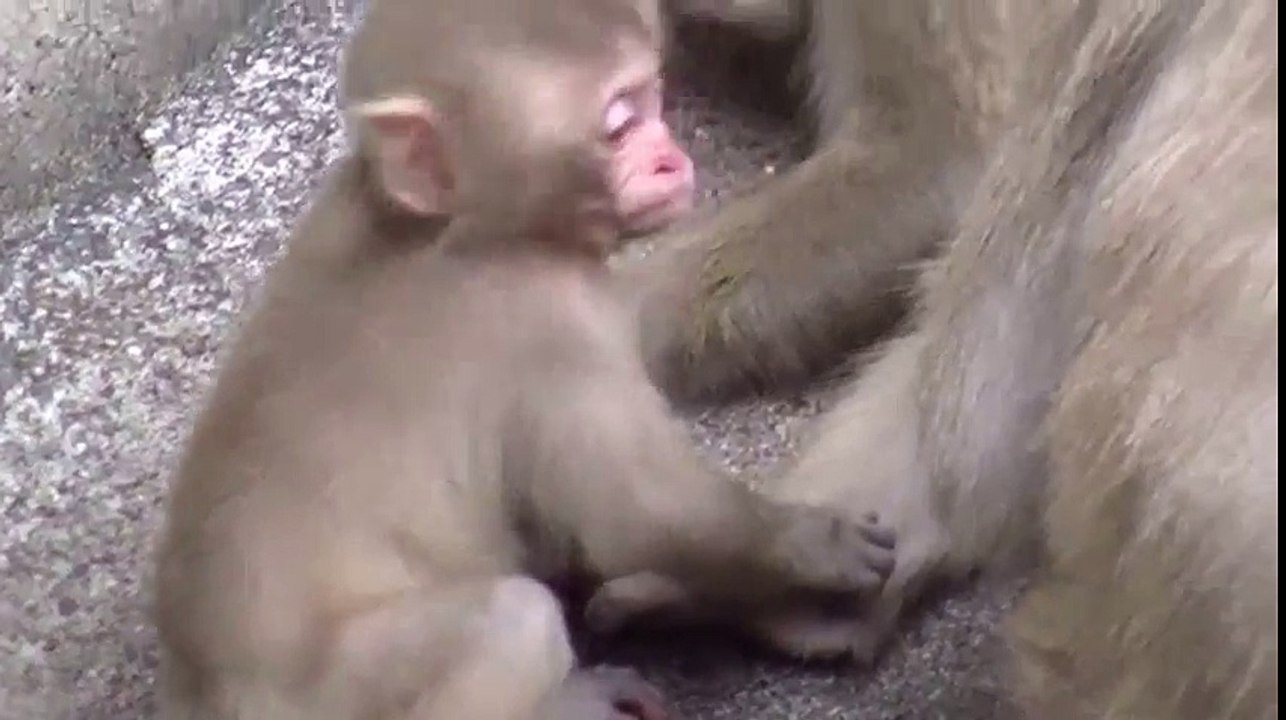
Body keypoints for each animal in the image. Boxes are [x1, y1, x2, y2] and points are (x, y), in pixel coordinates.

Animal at [149, 1, 901, 718]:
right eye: (619, 125)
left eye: (651, 96)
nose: (671, 157)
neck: (455, 224)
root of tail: (200, 694)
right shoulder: (555, 324)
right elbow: (639, 516)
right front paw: (807, 543)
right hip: (334, 698)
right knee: (518, 619)